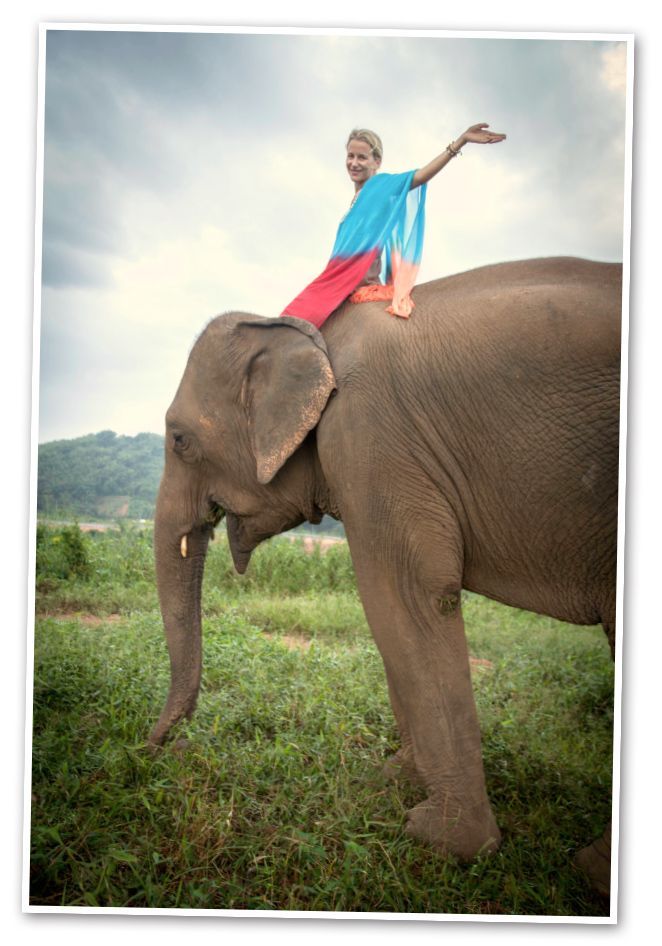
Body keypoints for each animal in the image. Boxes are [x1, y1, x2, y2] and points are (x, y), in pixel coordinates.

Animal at [149, 256, 621, 896]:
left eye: (179, 440)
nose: (158, 747)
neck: (308, 330)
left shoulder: (371, 437)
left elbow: (405, 597)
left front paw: (442, 839)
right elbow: (394, 615)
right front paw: (394, 781)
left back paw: (590, 870)